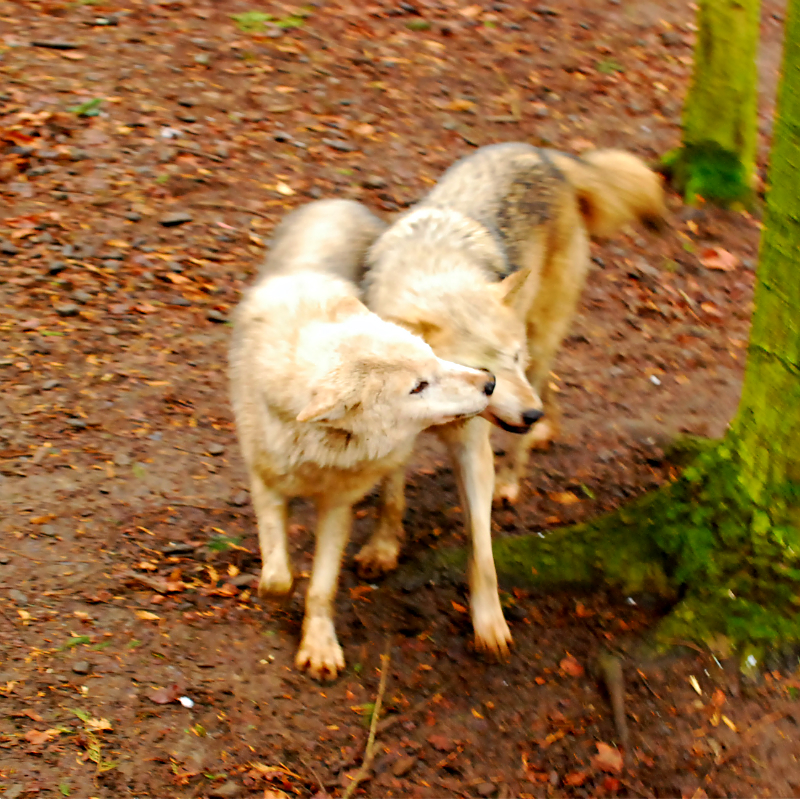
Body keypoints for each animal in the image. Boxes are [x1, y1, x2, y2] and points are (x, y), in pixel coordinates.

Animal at [229, 199, 495, 680]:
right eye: (418, 386)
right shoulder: (265, 482)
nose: (489, 382)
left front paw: (318, 646)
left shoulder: (338, 505)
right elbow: (278, 577)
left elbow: (321, 587)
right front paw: (276, 599)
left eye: (433, 358)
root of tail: (339, 202)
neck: (318, 449)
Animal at [360, 143, 665, 656]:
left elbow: (482, 553)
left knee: (541, 395)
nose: (530, 414)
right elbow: (391, 498)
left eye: (511, 360)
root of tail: (548, 157)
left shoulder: (474, 447)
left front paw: (489, 624)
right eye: (485, 376)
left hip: (541, 341)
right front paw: (383, 548)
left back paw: (516, 472)